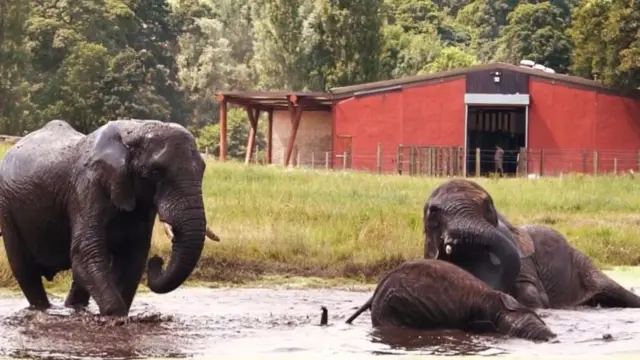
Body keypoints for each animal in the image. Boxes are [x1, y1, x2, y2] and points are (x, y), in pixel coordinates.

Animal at [0, 119, 220, 316]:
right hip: (7, 208)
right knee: (24, 269)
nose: (158, 260)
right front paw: (116, 317)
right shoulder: (87, 187)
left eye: (203, 169)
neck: (135, 130)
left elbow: (132, 257)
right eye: (155, 172)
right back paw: (44, 309)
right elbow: (86, 252)